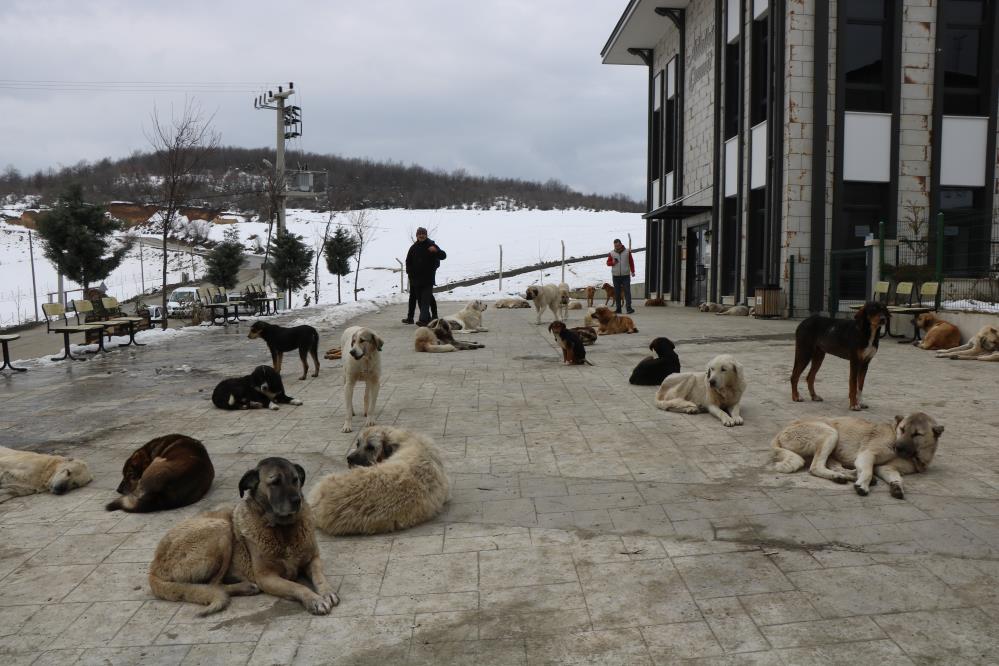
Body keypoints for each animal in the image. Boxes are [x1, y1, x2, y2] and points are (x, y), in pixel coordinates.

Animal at [146, 454, 338, 616]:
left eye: (295, 480)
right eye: (275, 482)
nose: (297, 501)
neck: (283, 530)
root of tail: (154, 567)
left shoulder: (313, 559)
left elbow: (319, 576)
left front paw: (327, 592)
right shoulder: (266, 577)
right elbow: (297, 586)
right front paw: (314, 599)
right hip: (221, 530)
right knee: (213, 585)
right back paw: (245, 587)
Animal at [772, 410, 944, 498]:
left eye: (916, 434)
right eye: (902, 429)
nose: (897, 447)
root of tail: (781, 432)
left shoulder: (887, 468)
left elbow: (896, 478)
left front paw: (897, 486)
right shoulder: (867, 455)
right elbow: (867, 472)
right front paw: (863, 485)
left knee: (834, 466)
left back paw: (848, 475)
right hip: (830, 433)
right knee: (815, 467)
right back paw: (845, 477)